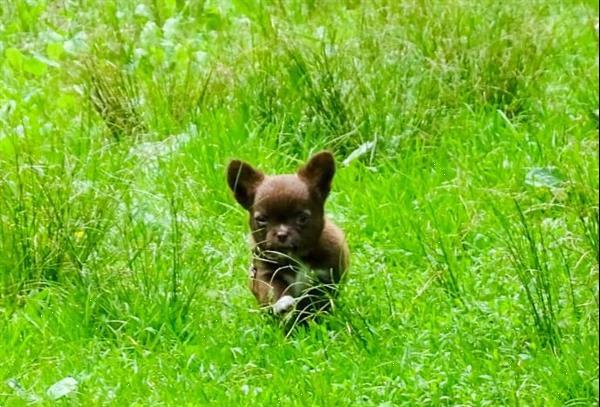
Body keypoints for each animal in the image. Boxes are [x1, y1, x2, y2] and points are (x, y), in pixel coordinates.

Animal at [227, 151, 350, 320]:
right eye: (262, 220)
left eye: (302, 218)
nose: (281, 234)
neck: (296, 257)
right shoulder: (266, 274)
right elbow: (274, 290)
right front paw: (283, 304)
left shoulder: (325, 276)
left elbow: (316, 301)